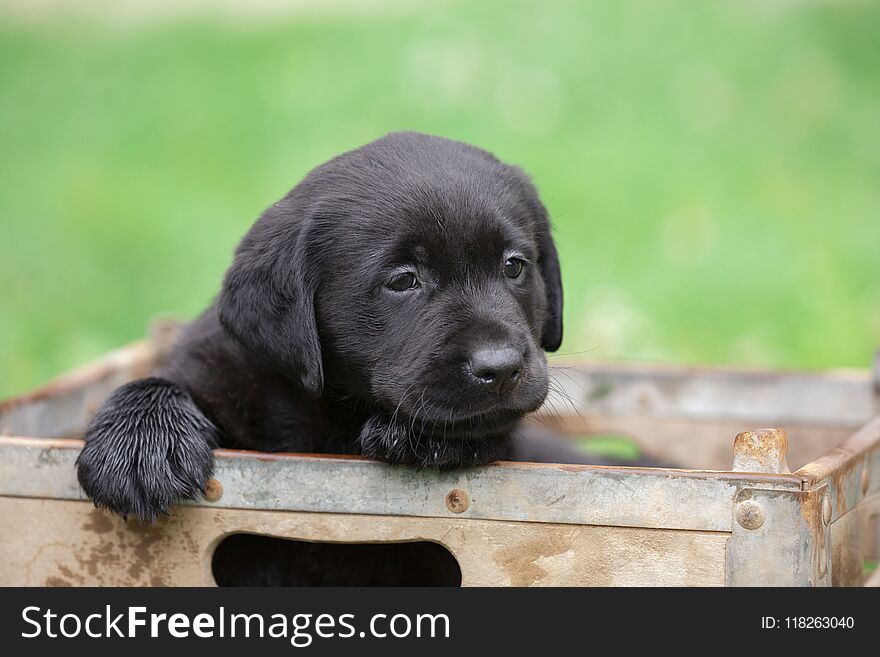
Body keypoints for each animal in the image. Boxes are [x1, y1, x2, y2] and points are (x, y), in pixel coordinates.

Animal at [75, 131, 648, 580]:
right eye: (403, 280)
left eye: (514, 266)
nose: (502, 367)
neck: (332, 421)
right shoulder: (218, 369)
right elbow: (163, 379)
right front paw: (137, 447)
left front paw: (420, 438)